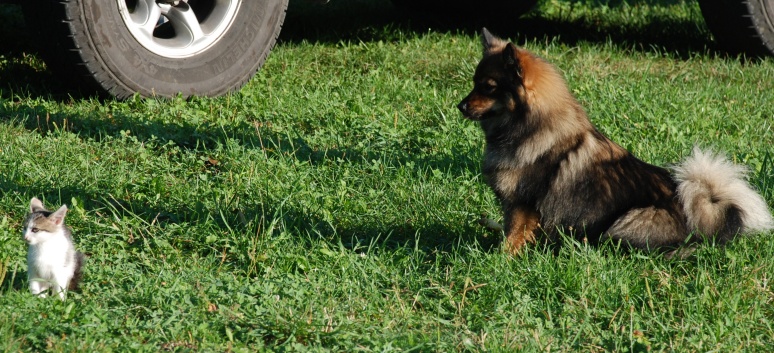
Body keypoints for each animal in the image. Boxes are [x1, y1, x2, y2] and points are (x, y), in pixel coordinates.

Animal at [458, 26, 772, 253]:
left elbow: (512, 238)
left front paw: (501, 262)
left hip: (626, 222)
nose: (460, 106)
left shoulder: (523, 205)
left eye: (488, 87)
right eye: (474, 84)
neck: (528, 126)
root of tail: (705, 223)